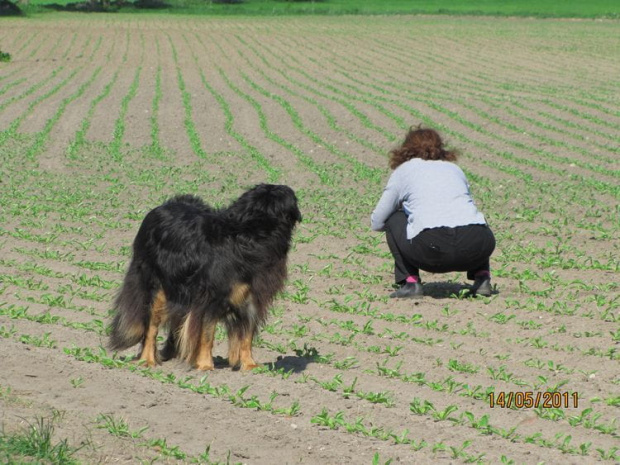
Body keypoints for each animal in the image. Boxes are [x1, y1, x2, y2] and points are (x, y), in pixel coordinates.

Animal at [109, 184, 302, 370]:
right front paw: (205, 365)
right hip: (156, 287)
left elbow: (246, 336)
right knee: (151, 326)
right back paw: (147, 360)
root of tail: (162, 207)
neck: (250, 236)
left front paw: (249, 365)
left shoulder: (251, 300)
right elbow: (207, 335)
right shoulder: (209, 300)